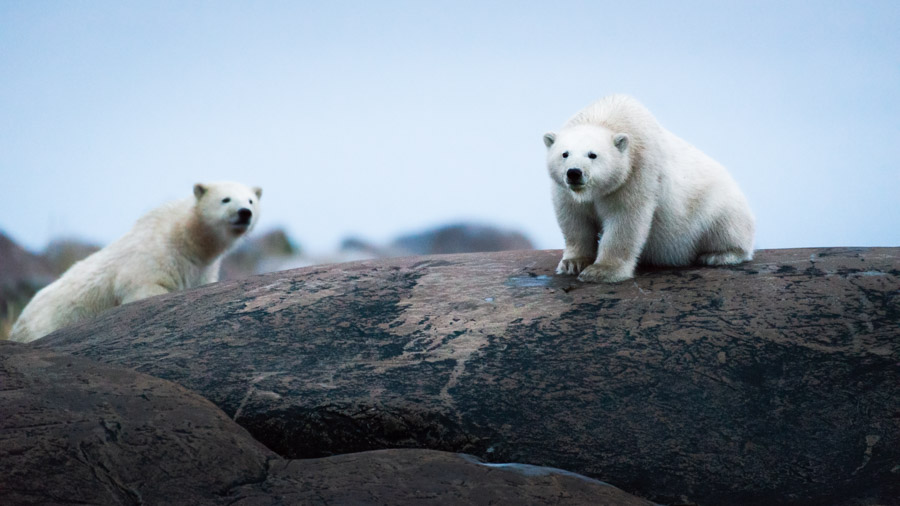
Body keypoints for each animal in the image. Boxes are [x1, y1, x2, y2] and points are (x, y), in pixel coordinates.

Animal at [8, 181, 262, 343]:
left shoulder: (201, 269)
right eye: (225, 199)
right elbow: (143, 288)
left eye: (251, 200)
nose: (244, 212)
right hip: (45, 323)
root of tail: (17, 324)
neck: (186, 238)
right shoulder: (152, 256)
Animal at [543, 94, 755, 283]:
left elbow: (625, 219)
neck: (609, 115)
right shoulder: (566, 191)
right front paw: (572, 264)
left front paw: (601, 271)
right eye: (565, 154)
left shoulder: (637, 171)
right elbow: (575, 219)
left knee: (725, 228)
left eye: (592, 155)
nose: (574, 173)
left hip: (716, 206)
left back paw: (718, 255)